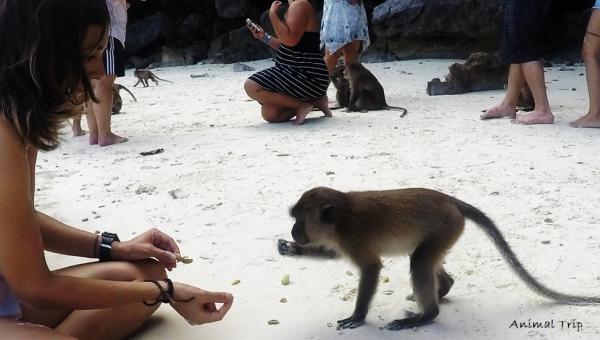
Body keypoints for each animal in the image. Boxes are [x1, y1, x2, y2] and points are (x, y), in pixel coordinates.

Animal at [282, 187, 600, 330]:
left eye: (300, 221)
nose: (294, 231)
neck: (340, 218)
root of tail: (450, 199)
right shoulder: (340, 240)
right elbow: (332, 254)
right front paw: (291, 250)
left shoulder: (353, 238)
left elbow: (371, 268)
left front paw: (358, 316)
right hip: (447, 231)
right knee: (425, 260)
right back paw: (443, 289)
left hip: (447, 226)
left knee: (420, 262)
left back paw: (427, 315)